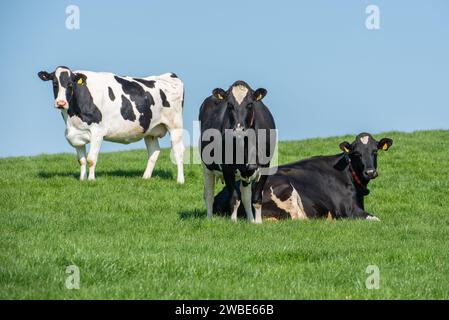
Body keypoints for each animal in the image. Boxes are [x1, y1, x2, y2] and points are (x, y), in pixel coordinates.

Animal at [37, 66, 185, 182]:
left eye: (70, 84)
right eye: (54, 83)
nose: (61, 103)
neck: (71, 117)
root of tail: (170, 75)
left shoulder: (97, 132)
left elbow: (91, 159)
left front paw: (91, 180)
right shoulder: (76, 134)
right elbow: (82, 160)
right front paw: (82, 179)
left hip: (175, 126)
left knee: (178, 151)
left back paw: (180, 180)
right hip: (150, 131)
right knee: (154, 152)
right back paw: (145, 178)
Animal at [200, 81, 276, 224]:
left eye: (250, 104)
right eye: (229, 104)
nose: (239, 129)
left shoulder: (265, 166)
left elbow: (256, 198)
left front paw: (258, 222)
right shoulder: (227, 168)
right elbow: (234, 198)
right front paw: (233, 222)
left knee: (246, 195)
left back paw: (251, 220)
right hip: (207, 167)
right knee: (209, 194)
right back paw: (209, 219)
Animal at [214, 132, 392, 220]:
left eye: (375, 151)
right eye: (356, 153)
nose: (370, 172)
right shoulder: (348, 210)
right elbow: (376, 219)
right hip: (284, 188)